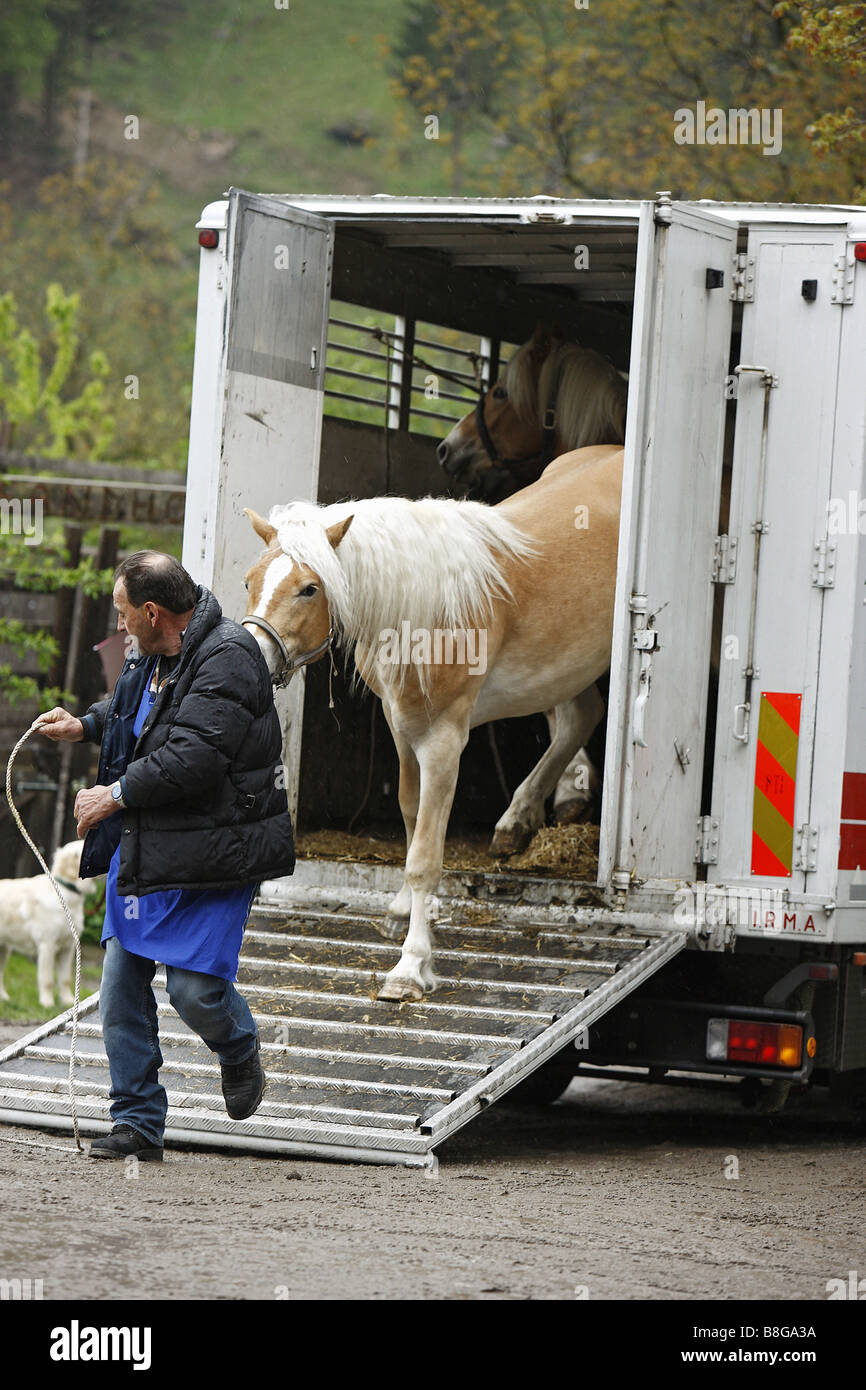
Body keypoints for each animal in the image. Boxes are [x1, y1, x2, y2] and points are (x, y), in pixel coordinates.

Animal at [242, 442, 623, 1002]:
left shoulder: (443, 740)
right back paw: (517, 821)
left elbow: (425, 854)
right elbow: (409, 811)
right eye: (250, 581)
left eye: (309, 589)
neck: (425, 607)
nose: (253, 653)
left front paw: (411, 965)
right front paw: (403, 911)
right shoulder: (401, 726)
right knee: (579, 718)